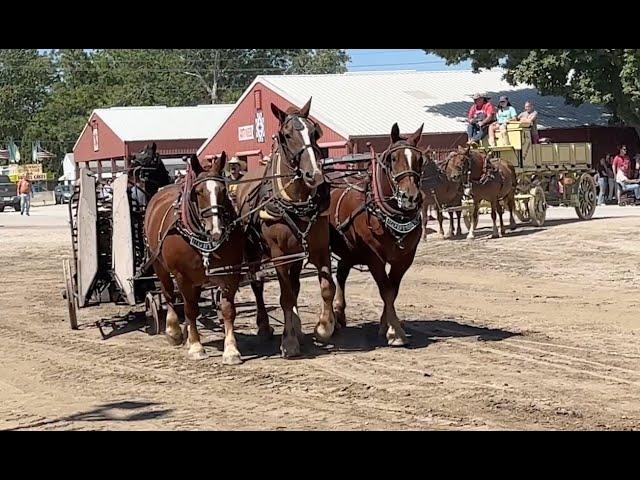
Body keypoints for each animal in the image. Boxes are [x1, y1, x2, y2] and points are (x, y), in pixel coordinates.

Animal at [145, 153, 245, 364]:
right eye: (198, 192)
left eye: (223, 190)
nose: (216, 230)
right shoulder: (182, 277)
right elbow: (190, 309)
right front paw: (196, 347)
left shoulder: (231, 272)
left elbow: (227, 309)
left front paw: (231, 350)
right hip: (159, 265)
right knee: (169, 294)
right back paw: (174, 331)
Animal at [235, 97, 336, 358]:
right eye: (287, 135)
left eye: (315, 132)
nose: (315, 174)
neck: (296, 201)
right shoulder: (279, 255)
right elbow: (285, 297)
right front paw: (289, 342)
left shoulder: (319, 248)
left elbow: (325, 288)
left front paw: (323, 328)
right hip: (253, 252)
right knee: (258, 284)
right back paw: (264, 326)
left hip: (296, 253)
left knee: (295, 284)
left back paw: (297, 325)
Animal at [330, 123, 424, 344]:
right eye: (393, 158)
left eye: (420, 159)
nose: (410, 197)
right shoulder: (373, 257)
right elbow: (386, 290)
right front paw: (395, 331)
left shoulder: (405, 257)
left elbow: (393, 290)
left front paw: (385, 324)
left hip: (349, 250)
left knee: (341, 273)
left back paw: (339, 312)